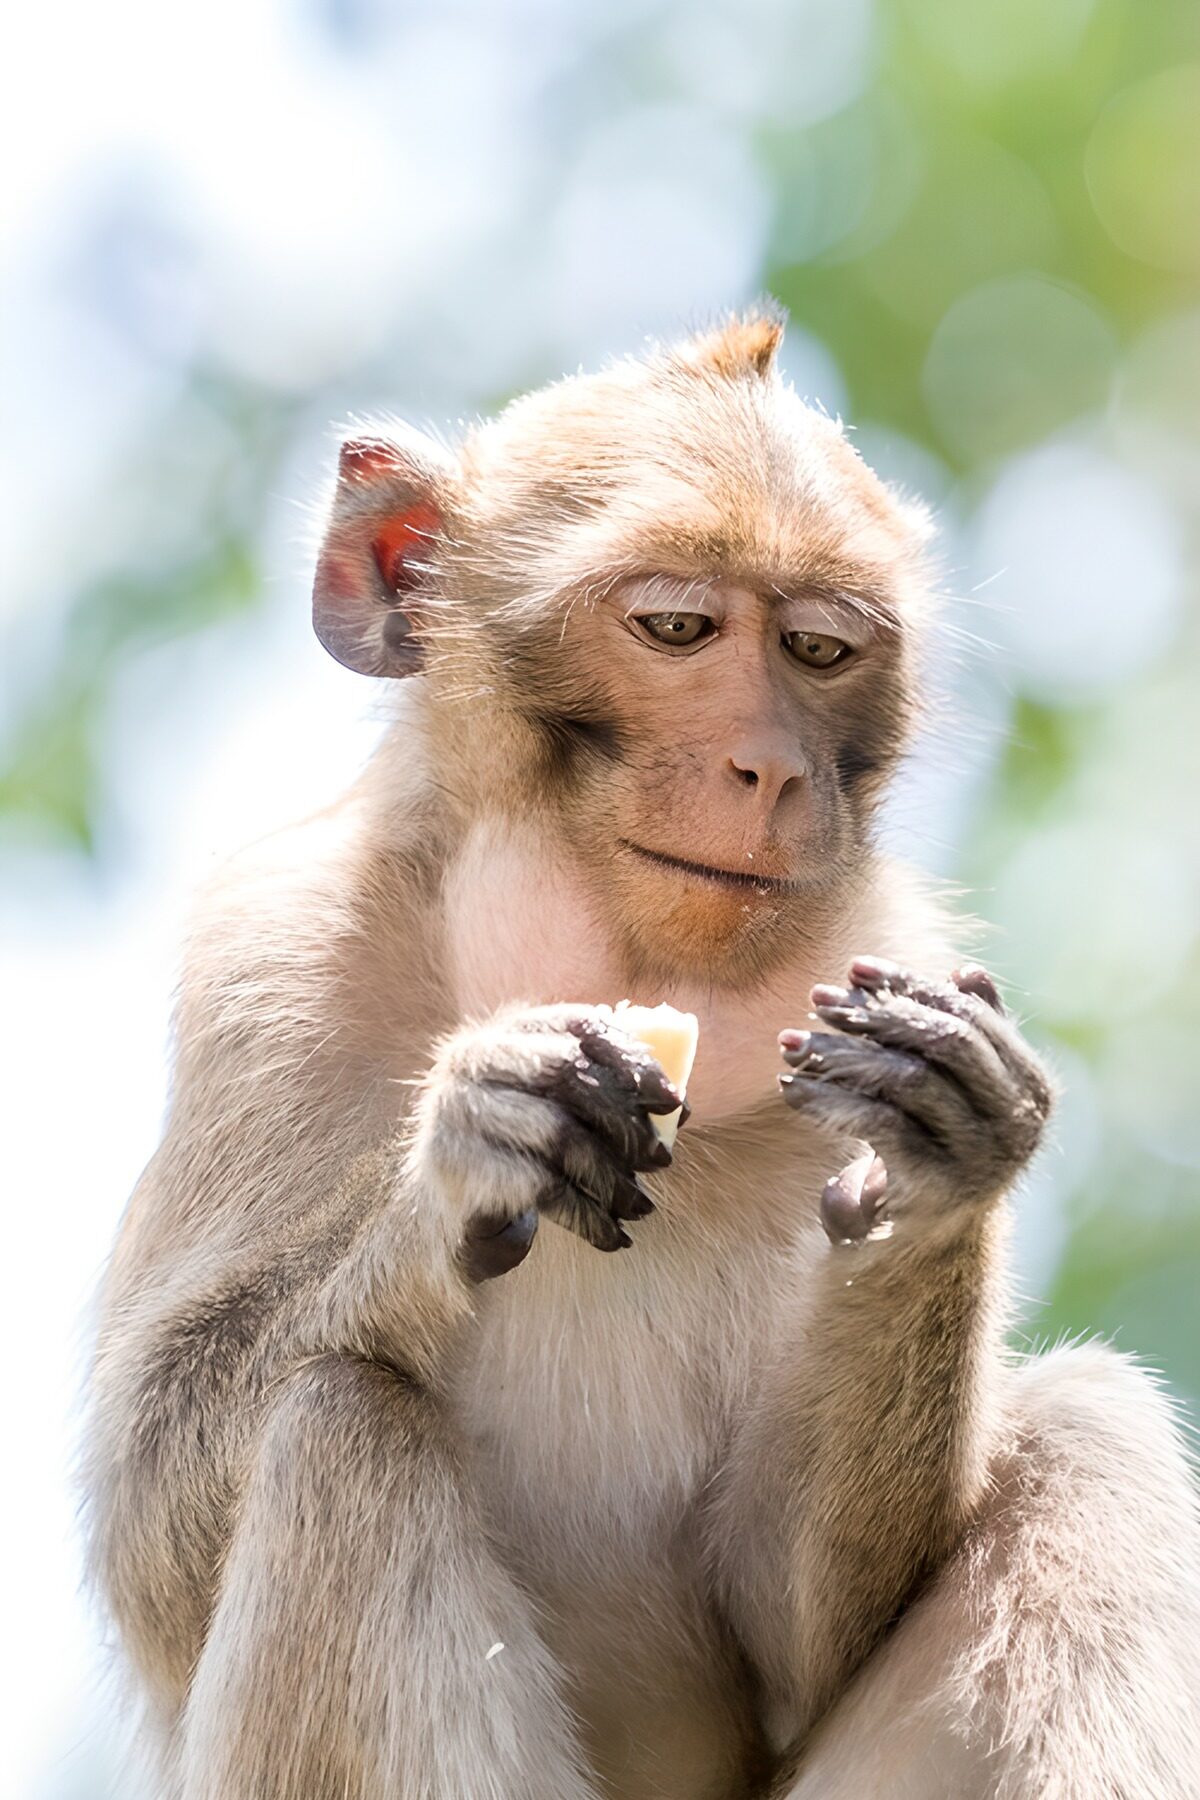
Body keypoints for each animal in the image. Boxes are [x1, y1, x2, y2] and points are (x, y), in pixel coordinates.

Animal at [85, 312, 1200, 1800]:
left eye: (819, 649)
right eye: (677, 628)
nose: (770, 766)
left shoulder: (875, 947)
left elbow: (789, 1624)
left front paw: (937, 1166)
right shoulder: (269, 956)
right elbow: (147, 1531)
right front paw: (466, 1153)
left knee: (1090, 1423)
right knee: (337, 1427)